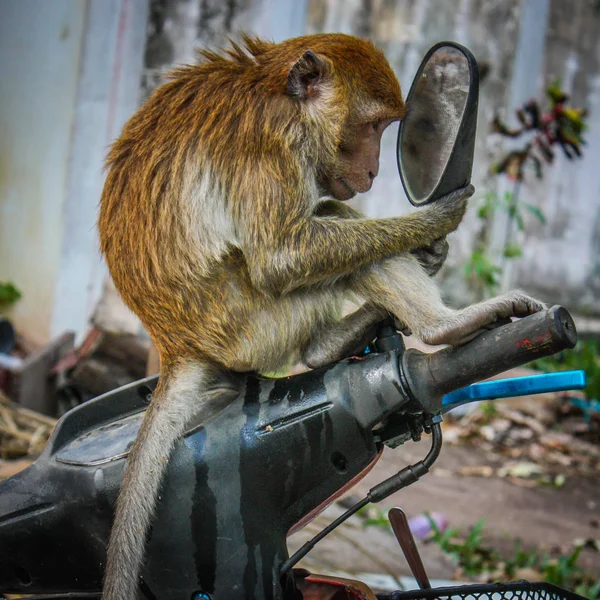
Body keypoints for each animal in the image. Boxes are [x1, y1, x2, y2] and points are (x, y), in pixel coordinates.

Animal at [98, 34, 544, 600]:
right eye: (373, 127)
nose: (374, 171)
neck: (276, 92)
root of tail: (177, 345)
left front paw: (431, 250)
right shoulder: (272, 145)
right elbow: (283, 257)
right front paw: (433, 220)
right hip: (255, 323)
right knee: (325, 227)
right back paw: (443, 326)